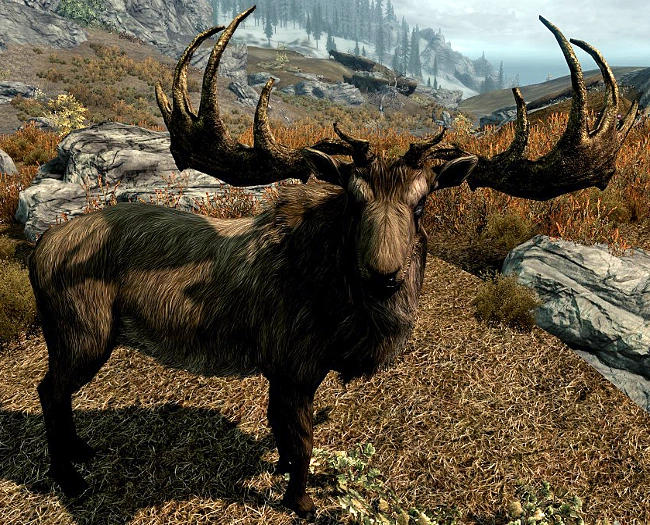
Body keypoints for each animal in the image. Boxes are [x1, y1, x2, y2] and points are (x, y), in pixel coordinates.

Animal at [29, 6, 637, 519]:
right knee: (49, 391)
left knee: (55, 391)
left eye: (422, 203)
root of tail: (39, 251)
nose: (384, 276)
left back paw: (81, 451)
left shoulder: (286, 371)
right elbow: (300, 443)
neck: (348, 319)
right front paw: (301, 501)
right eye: (352, 199)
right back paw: (71, 478)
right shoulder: (293, 365)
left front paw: (287, 478)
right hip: (82, 331)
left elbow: (281, 436)